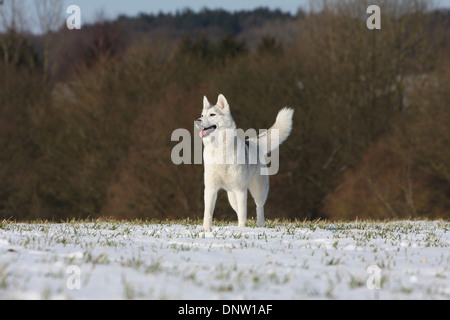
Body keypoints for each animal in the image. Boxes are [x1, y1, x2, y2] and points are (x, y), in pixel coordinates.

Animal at [195, 94, 294, 231]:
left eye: (212, 114)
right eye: (202, 114)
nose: (197, 120)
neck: (220, 149)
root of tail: (253, 142)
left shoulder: (240, 190)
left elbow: (243, 213)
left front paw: (242, 229)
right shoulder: (210, 189)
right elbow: (208, 213)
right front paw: (206, 230)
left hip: (258, 190)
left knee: (259, 207)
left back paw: (260, 225)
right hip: (232, 197)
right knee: (238, 210)